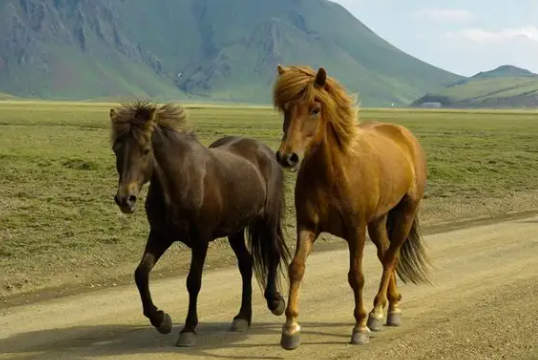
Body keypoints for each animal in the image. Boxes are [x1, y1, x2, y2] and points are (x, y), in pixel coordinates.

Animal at [108, 100, 288, 348]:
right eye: (116, 149)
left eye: (145, 150)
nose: (126, 199)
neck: (180, 182)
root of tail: (264, 150)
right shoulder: (160, 235)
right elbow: (141, 274)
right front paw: (160, 319)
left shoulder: (200, 240)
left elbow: (193, 282)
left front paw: (188, 329)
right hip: (235, 229)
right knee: (246, 263)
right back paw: (243, 317)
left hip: (267, 220)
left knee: (272, 254)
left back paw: (275, 302)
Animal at [270, 64, 430, 348]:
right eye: (286, 108)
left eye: (315, 109)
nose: (287, 157)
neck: (331, 173)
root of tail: (405, 135)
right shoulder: (307, 226)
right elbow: (296, 268)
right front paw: (290, 328)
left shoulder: (356, 230)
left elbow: (356, 276)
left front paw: (360, 326)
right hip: (377, 221)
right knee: (386, 254)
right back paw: (391, 307)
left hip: (406, 213)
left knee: (391, 257)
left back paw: (377, 312)